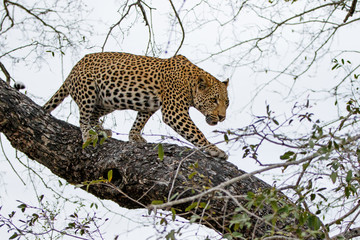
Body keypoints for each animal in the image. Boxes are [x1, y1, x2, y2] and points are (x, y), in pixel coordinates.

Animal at [43, 52, 229, 159]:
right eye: (214, 100)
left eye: (227, 103)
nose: (222, 117)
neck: (190, 82)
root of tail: (72, 71)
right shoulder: (174, 111)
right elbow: (196, 132)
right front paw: (214, 150)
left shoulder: (149, 104)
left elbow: (140, 120)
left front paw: (134, 136)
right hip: (88, 89)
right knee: (83, 116)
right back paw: (88, 135)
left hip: (108, 100)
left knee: (94, 114)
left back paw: (101, 130)